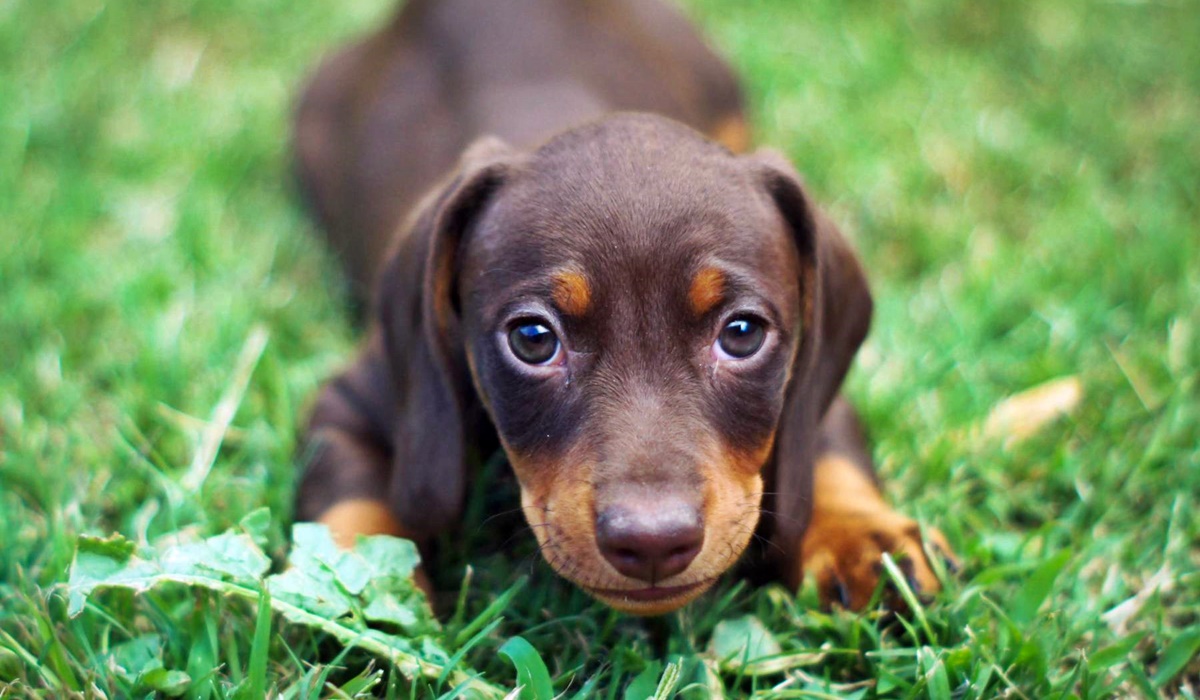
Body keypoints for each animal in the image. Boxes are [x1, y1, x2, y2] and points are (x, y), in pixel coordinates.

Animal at [290, 0, 945, 614]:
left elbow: (829, 450)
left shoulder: (807, 380)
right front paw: (352, 592)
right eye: (532, 339)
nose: (653, 542)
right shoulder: (351, 403)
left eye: (742, 333)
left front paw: (864, 540)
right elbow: (350, 512)